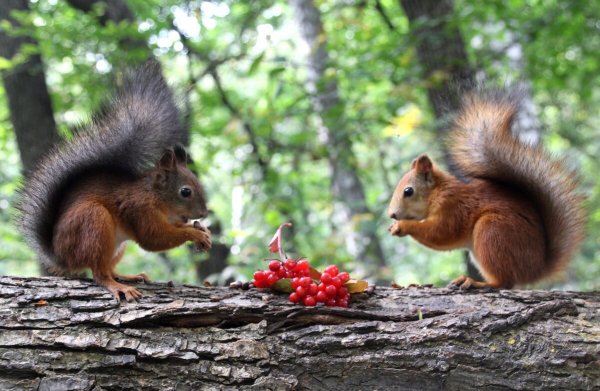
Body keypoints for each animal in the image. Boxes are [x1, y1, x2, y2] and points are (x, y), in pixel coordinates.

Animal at [16, 61, 212, 302]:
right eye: (185, 191)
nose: (204, 213)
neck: (155, 196)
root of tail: (61, 256)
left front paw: (204, 232)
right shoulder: (139, 209)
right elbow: (153, 238)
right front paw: (195, 233)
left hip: (116, 246)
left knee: (107, 268)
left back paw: (128, 276)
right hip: (93, 222)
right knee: (99, 273)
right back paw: (118, 286)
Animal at [386, 90, 584, 290]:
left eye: (408, 191)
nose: (392, 214)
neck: (437, 192)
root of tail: (535, 270)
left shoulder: (453, 207)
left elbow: (441, 233)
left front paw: (402, 226)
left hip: (493, 231)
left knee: (504, 282)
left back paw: (475, 282)